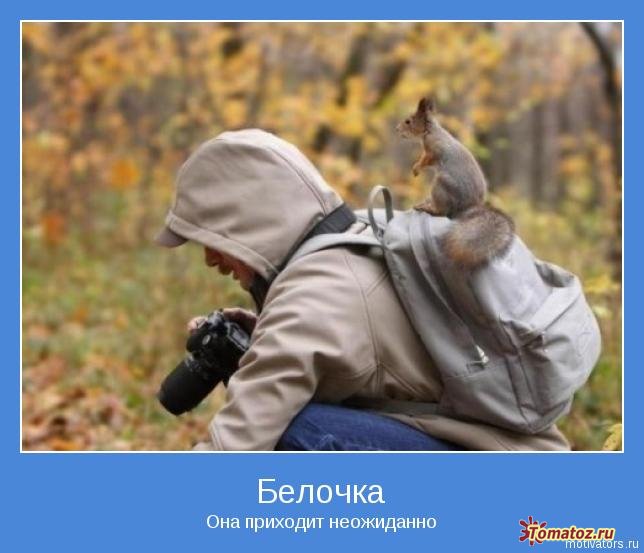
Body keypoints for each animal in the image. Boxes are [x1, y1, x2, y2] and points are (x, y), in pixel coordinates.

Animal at [396, 96, 515, 270]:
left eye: (408, 121)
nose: (396, 129)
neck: (431, 131)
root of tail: (469, 208)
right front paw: (415, 168)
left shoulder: (434, 151)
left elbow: (426, 159)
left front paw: (417, 168)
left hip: (442, 185)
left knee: (442, 211)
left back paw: (427, 207)